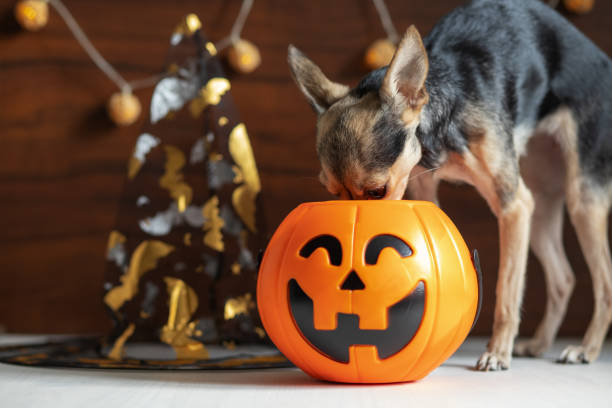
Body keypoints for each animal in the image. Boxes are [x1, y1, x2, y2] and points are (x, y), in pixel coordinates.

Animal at [288, 0, 612, 370]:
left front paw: (496, 352)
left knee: (604, 284)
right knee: (564, 278)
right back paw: (540, 343)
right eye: (332, 196)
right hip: (541, 205)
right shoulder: (427, 189)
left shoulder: (513, 206)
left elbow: (507, 290)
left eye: (376, 192)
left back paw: (586, 349)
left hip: (581, 199)